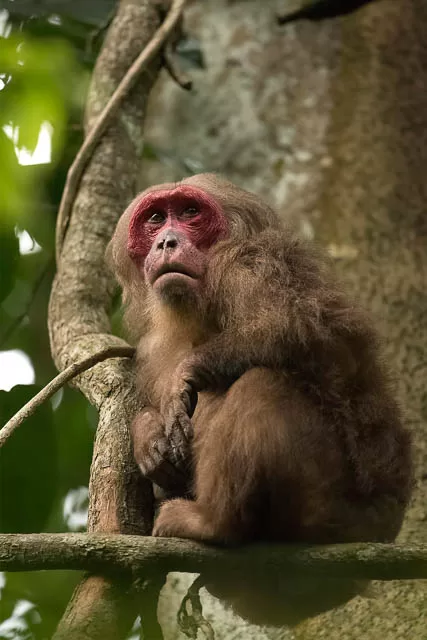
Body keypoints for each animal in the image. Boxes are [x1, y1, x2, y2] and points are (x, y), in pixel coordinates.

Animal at [107, 173, 412, 622]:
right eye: (156, 219)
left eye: (190, 212)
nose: (167, 242)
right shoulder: (151, 349)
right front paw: (148, 434)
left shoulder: (248, 262)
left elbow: (298, 324)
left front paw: (188, 373)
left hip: (335, 515)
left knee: (261, 383)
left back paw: (214, 523)